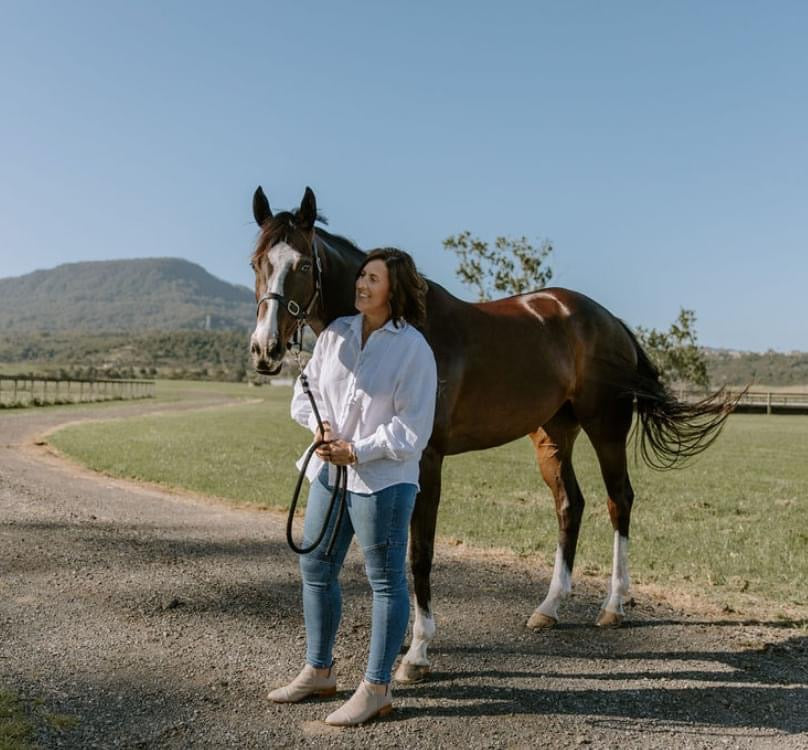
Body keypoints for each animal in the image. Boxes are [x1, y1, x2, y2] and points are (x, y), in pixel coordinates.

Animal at [248, 185, 735, 683]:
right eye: (257, 263)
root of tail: (610, 320)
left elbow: (419, 553)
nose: (265, 349)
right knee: (570, 504)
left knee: (619, 500)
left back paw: (613, 606)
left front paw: (417, 652)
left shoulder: (426, 460)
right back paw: (549, 607)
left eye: (303, 265)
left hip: (606, 427)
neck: (402, 323)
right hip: (552, 435)